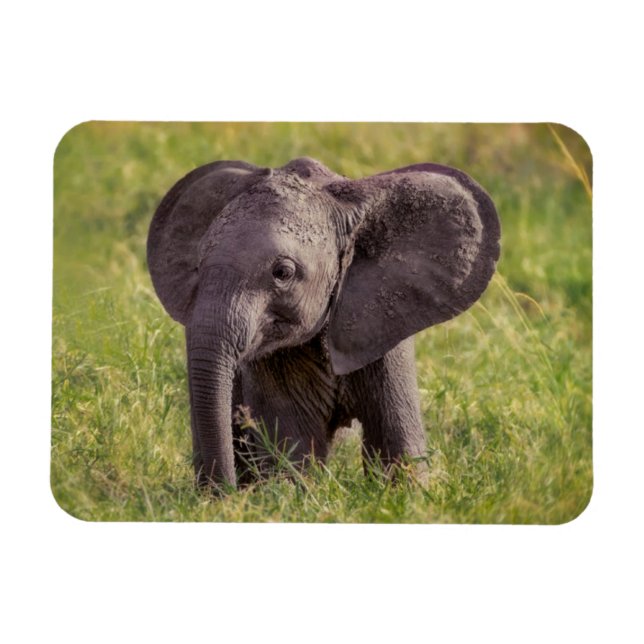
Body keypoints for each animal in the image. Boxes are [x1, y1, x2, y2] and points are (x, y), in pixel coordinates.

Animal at [147, 156, 500, 491]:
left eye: (283, 273)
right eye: (198, 265)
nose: (225, 493)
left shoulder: (383, 330)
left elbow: (396, 445)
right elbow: (292, 446)